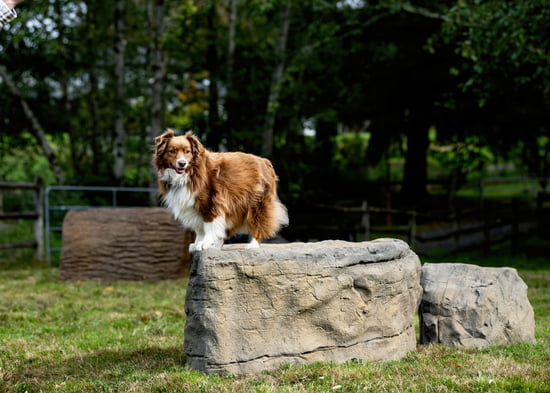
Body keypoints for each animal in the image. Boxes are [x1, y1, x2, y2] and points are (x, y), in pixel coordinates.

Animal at [152, 129, 288, 251]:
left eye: (187, 152)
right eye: (172, 151)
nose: (182, 163)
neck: (190, 172)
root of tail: (265, 161)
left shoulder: (209, 201)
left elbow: (208, 224)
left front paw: (205, 243)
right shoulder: (193, 206)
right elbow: (199, 227)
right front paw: (197, 243)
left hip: (256, 201)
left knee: (258, 221)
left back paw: (253, 244)